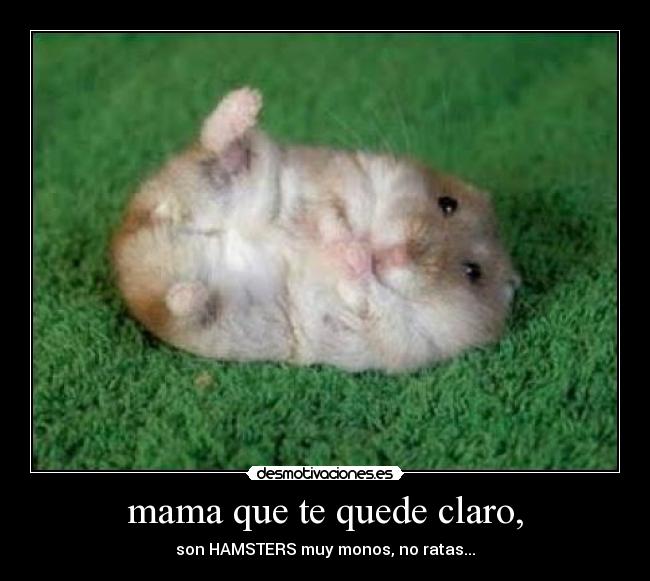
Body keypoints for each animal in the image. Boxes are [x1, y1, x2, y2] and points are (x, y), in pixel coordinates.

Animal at [111, 88, 519, 372]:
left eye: (473, 272)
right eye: (447, 203)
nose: (394, 255)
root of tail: (128, 244)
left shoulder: (402, 337)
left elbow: (367, 294)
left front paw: (351, 256)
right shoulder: (347, 178)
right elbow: (333, 215)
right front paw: (344, 244)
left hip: (201, 315)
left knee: (178, 304)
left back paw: (190, 292)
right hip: (235, 181)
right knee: (218, 147)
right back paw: (246, 102)